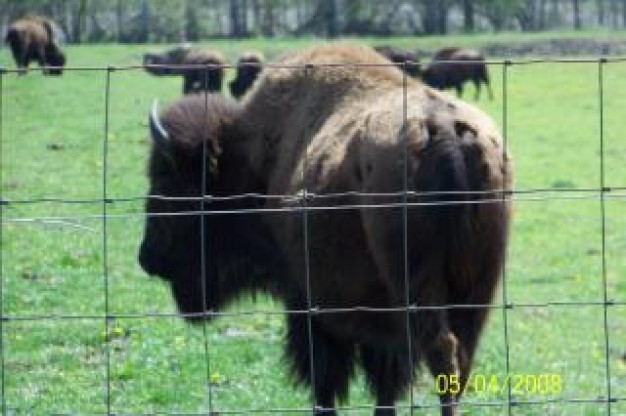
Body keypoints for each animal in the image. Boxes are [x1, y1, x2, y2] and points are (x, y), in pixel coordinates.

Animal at [140, 42, 512, 416]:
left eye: (169, 180)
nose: (148, 258)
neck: (253, 159)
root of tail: (446, 134)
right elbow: (384, 387)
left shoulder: (307, 305)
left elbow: (324, 382)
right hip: (476, 292)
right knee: (460, 360)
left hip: (418, 288)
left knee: (442, 353)